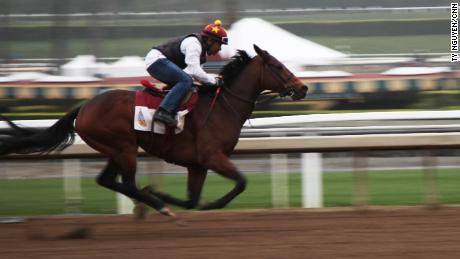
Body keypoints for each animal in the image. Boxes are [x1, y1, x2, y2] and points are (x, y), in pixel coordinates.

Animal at [1, 45, 310, 218]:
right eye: (278, 66)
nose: (303, 87)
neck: (223, 105)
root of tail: (85, 106)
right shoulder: (212, 157)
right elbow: (241, 182)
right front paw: (206, 204)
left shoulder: (197, 164)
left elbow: (192, 200)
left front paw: (180, 200)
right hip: (125, 147)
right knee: (127, 184)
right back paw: (158, 204)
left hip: (116, 149)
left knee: (108, 180)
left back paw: (155, 202)